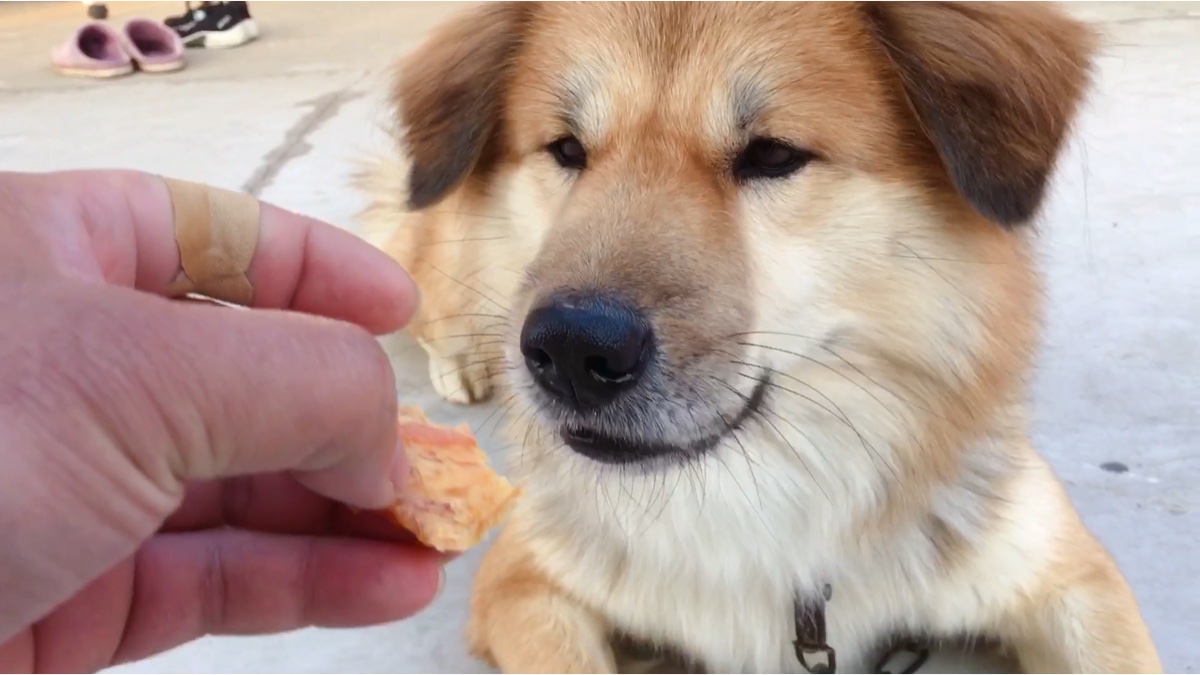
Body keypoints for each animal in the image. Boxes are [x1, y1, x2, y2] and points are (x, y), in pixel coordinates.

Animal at [355, 2, 1161, 667]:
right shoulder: (522, 582)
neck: (750, 489)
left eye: (773, 155)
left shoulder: (1071, 578)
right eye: (567, 149)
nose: (573, 352)